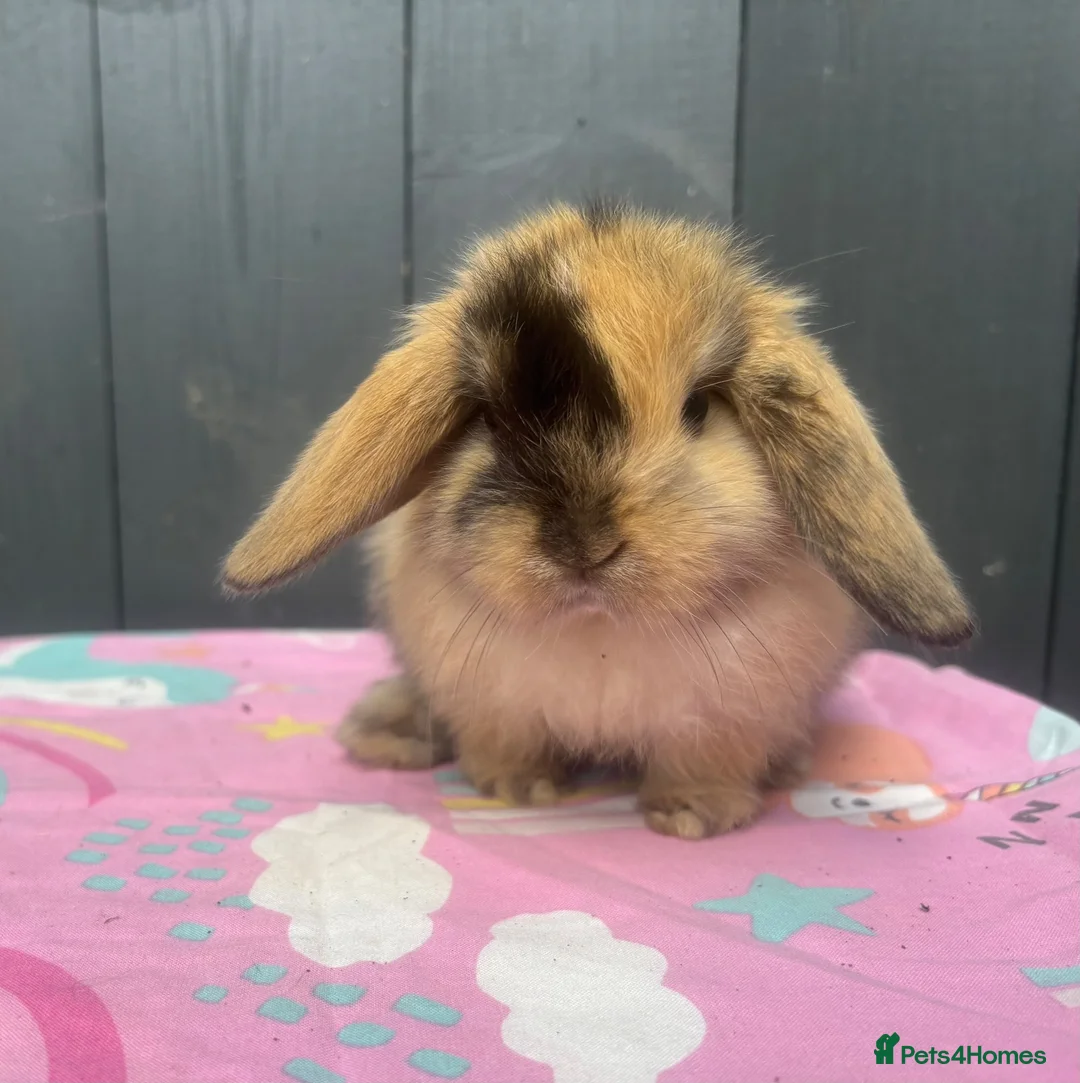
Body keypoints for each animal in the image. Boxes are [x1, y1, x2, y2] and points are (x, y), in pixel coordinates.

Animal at [221, 202, 973, 840]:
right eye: (489, 419)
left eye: (699, 407)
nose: (583, 545)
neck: (599, 629)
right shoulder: (490, 703)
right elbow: (506, 745)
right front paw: (519, 790)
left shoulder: (730, 716)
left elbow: (703, 764)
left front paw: (692, 818)